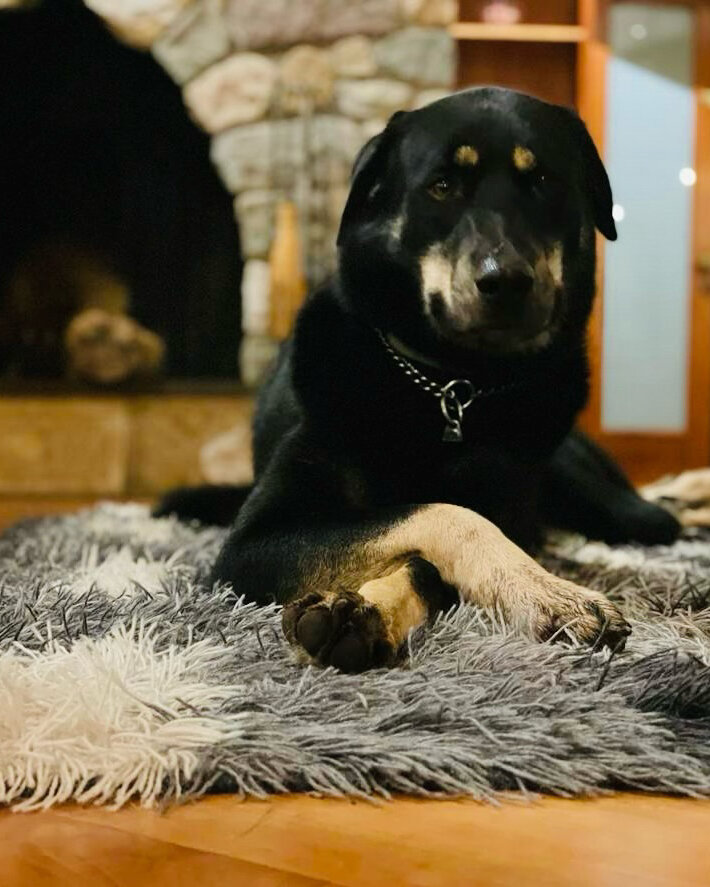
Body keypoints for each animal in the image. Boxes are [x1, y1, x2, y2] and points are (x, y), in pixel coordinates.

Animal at [157, 88, 684, 672]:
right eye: (442, 186)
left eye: (544, 181)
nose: (506, 281)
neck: (451, 385)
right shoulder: (252, 545)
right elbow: (440, 517)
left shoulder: (509, 506)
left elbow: (443, 539)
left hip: (622, 510)